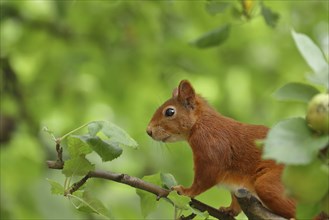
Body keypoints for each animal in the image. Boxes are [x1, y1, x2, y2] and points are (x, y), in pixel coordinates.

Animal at [146, 79, 294, 218]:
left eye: (170, 112)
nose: (148, 131)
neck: (201, 123)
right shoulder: (235, 184)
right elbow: (235, 199)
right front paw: (230, 210)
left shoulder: (212, 151)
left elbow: (204, 179)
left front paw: (185, 191)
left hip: (271, 184)